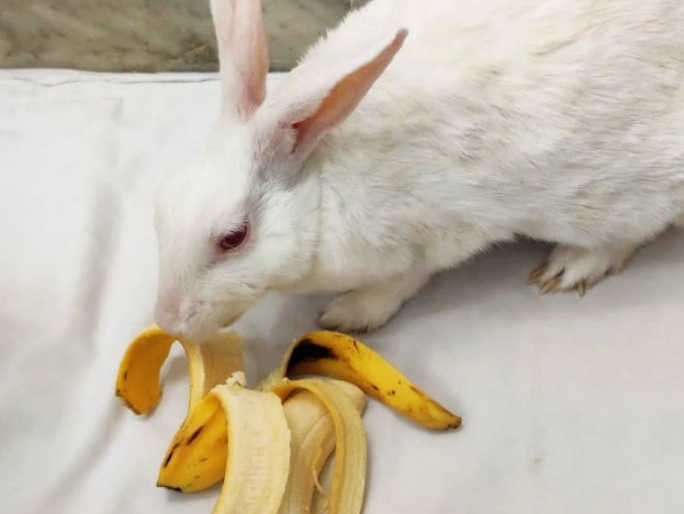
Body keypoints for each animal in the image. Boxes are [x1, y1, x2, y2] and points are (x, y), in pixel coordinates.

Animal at [153, 0, 684, 342]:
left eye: (233, 237)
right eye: (162, 210)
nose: (167, 322)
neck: (322, 174)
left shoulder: (432, 238)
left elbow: (401, 283)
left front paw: (345, 316)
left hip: (618, 194)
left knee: (627, 235)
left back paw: (567, 266)